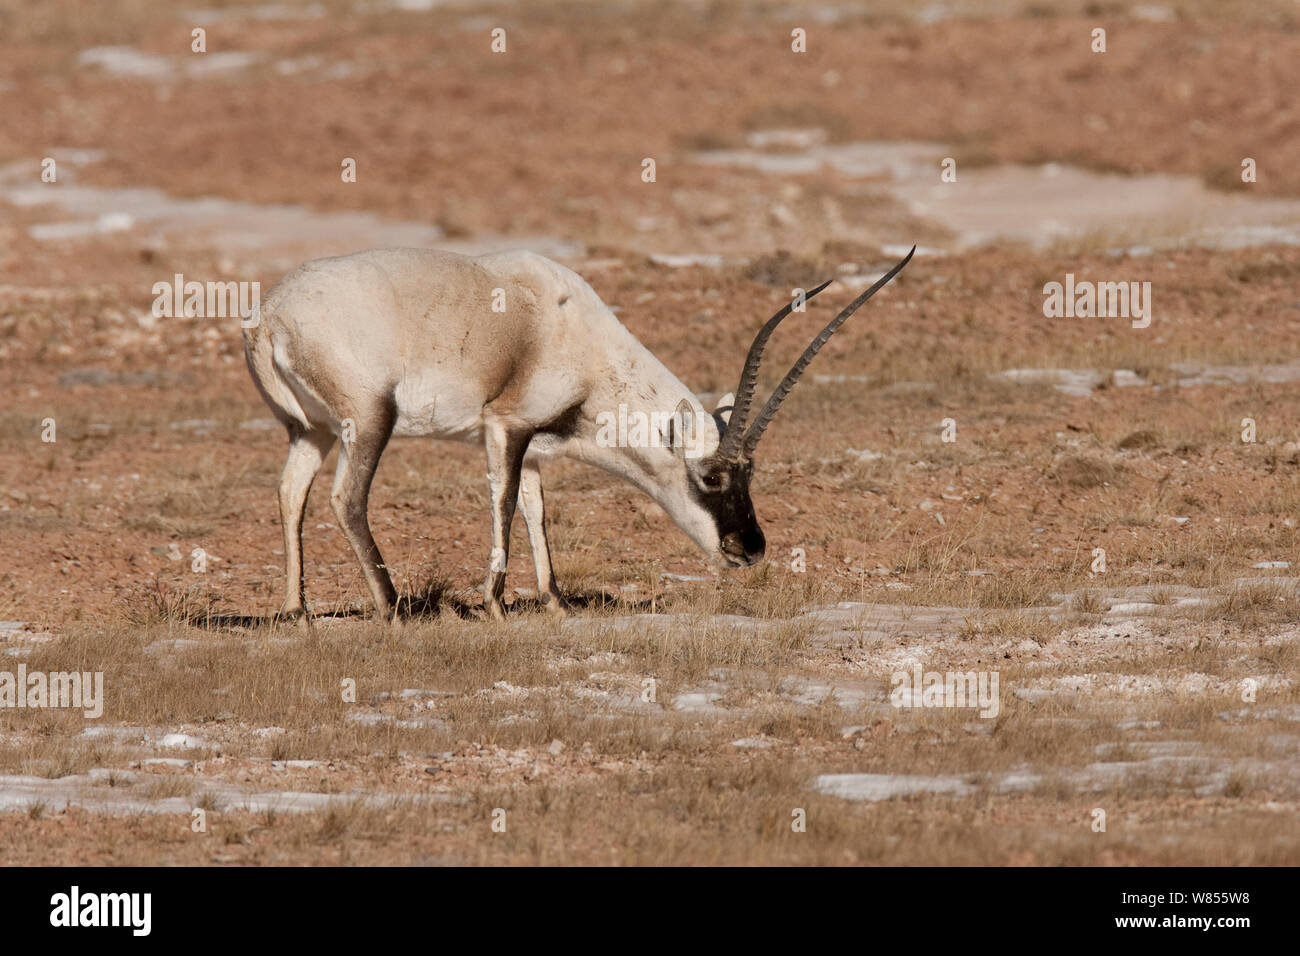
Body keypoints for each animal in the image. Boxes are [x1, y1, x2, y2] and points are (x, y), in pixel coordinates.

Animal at [245, 244, 915, 621]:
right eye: (710, 476)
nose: (748, 549)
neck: (570, 329)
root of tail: (270, 315)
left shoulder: (533, 446)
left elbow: (537, 511)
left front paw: (555, 601)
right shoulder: (506, 426)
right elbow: (504, 504)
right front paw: (494, 604)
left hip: (310, 430)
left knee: (290, 493)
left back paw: (297, 611)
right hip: (368, 421)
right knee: (346, 498)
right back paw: (392, 609)